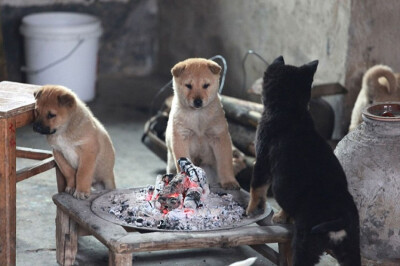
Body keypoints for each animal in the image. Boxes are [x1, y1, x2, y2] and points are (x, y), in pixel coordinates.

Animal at [166, 58, 241, 189]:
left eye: (205, 85)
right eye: (188, 85)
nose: (198, 101)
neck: (198, 116)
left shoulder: (219, 137)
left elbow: (225, 163)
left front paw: (229, 182)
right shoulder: (181, 137)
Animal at [248, 56, 360, 266]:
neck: (290, 110)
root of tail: (339, 216)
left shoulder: (262, 160)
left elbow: (256, 188)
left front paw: (252, 210)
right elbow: (285, 206)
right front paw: (282, 217)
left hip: (305, 243)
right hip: (350, 248)